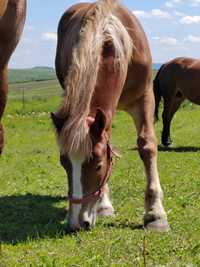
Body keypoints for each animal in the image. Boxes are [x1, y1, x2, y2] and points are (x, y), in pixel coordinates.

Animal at [51, 0, 169, 232]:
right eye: (64, 164)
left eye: (97, 164)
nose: (77, 222)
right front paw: (104, 205)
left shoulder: (144, 98)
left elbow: (147, 146)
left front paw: (155, 213)